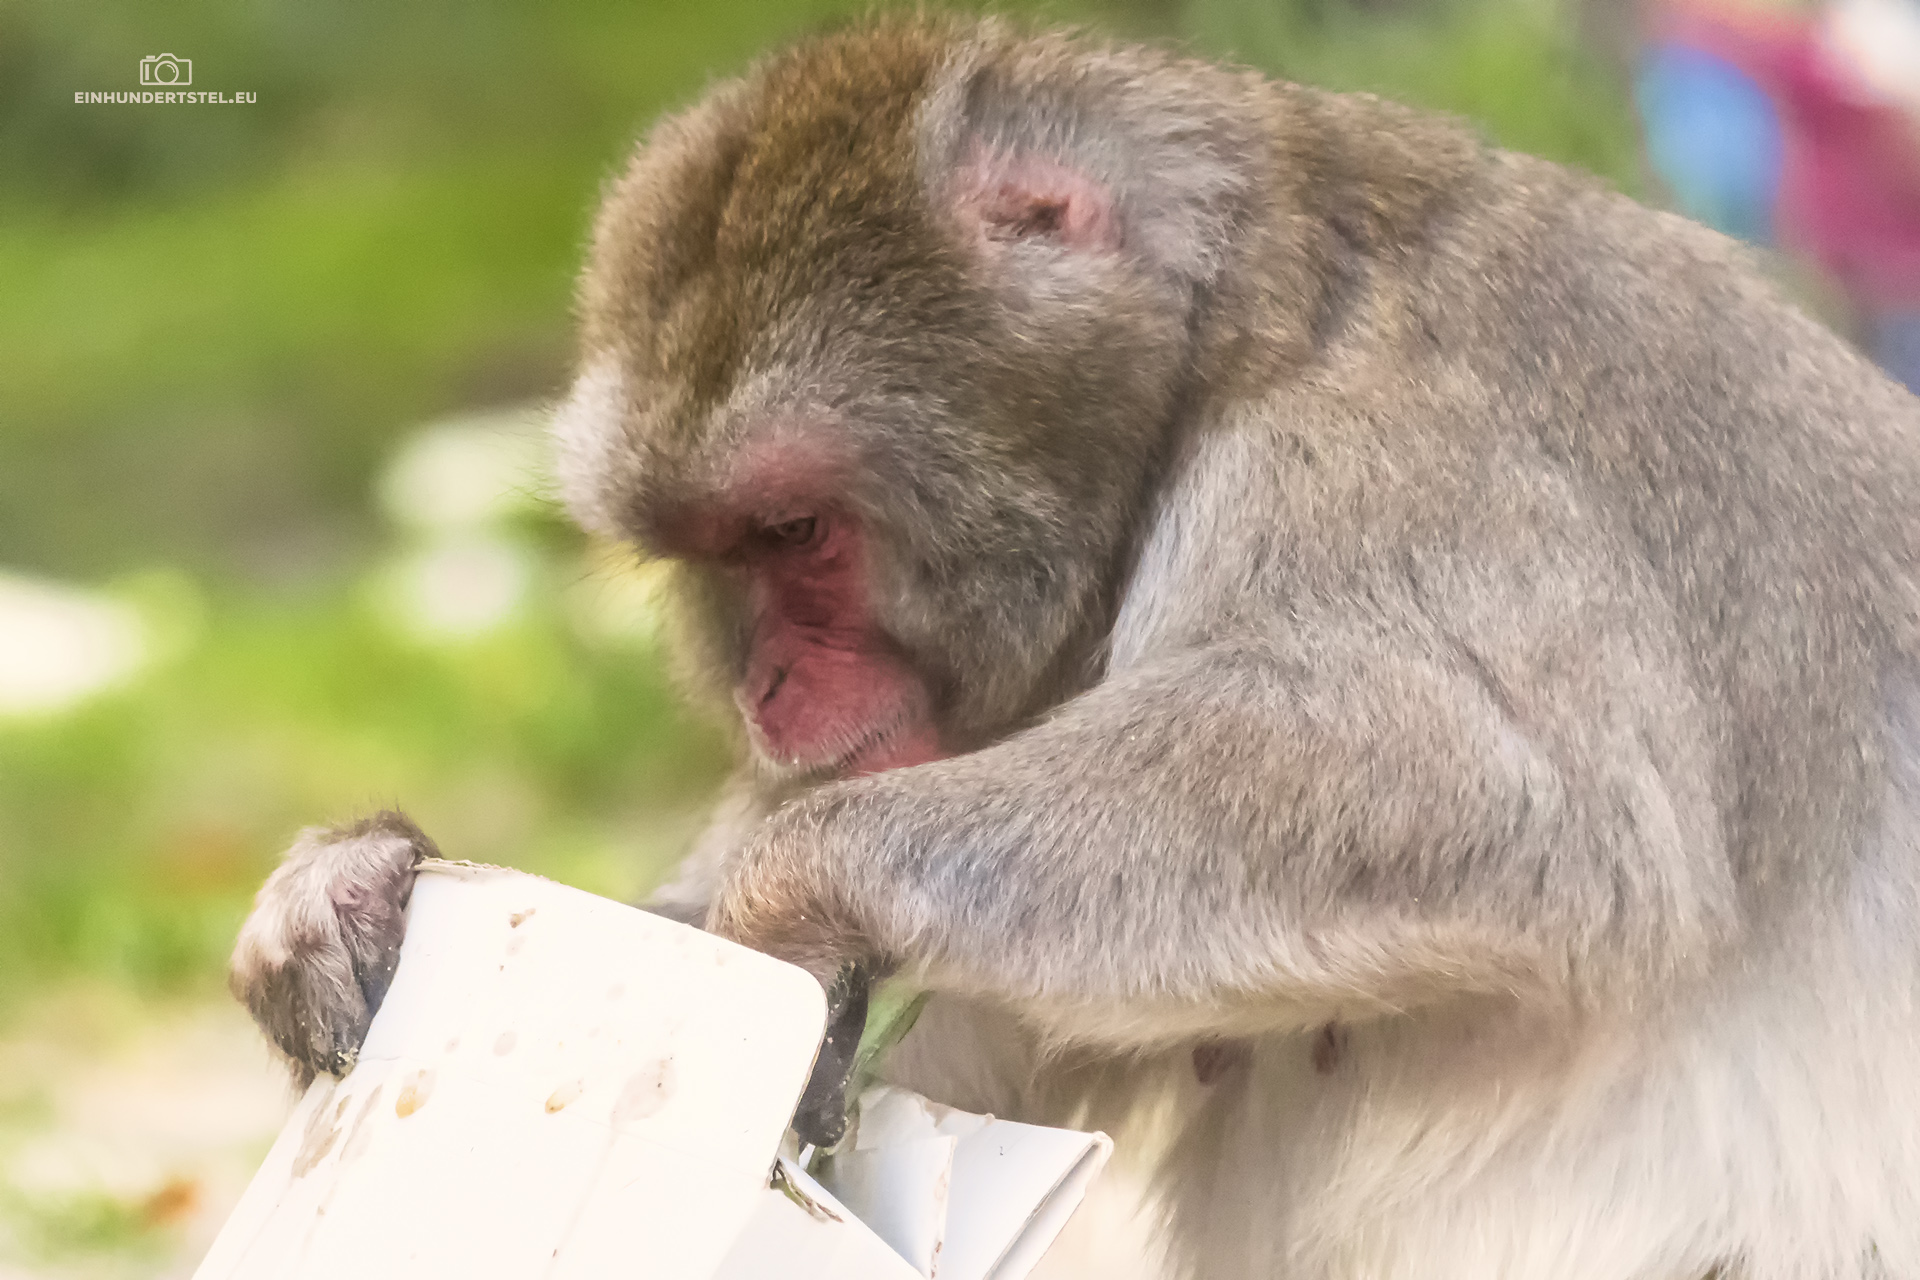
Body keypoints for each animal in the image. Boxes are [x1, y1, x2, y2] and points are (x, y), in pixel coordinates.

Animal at [229, 14, 1920, 1280]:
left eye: (796, 532)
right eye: (715, 555)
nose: (767, 696)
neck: (1249, 328)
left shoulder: (1385, 458)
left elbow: (1516, 812)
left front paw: (789, 901)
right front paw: (358, 891)